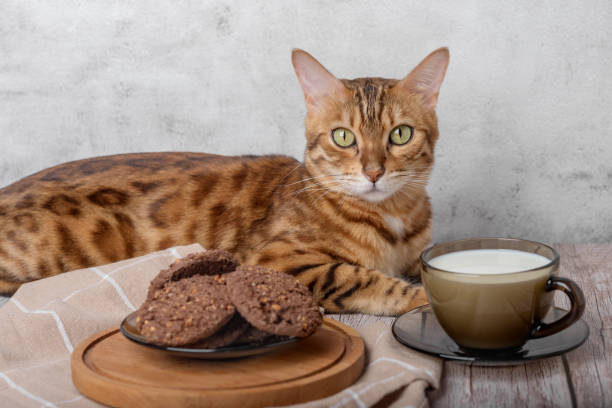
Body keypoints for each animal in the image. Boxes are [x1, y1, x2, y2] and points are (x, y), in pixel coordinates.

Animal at [0, 47, 450, 316]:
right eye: (343, 137)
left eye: (400, 135)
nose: (373, 172)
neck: (393, 218)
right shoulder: (278, 261)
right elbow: (369, 280)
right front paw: (421, 297)